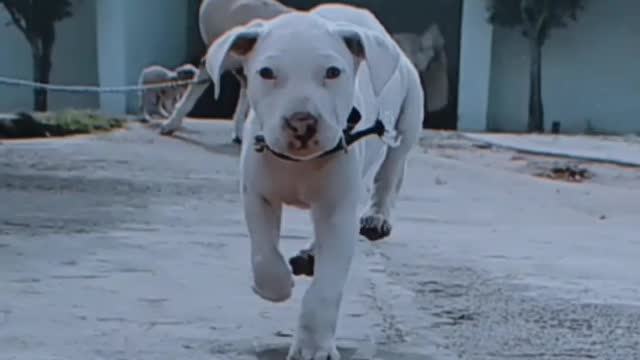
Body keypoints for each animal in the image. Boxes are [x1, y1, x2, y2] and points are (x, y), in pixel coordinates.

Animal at [205, 3, 424, 360]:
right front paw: (275, 286)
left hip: (407, 120)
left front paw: (313, 347)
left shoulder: (338, 210)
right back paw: (310, 253)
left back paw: (376, 218)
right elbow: (263, 254)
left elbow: (326, 288)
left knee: (389, 174)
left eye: (333, 72)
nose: (301, 122)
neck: (299, 163)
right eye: (267, 73)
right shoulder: (257, 194)